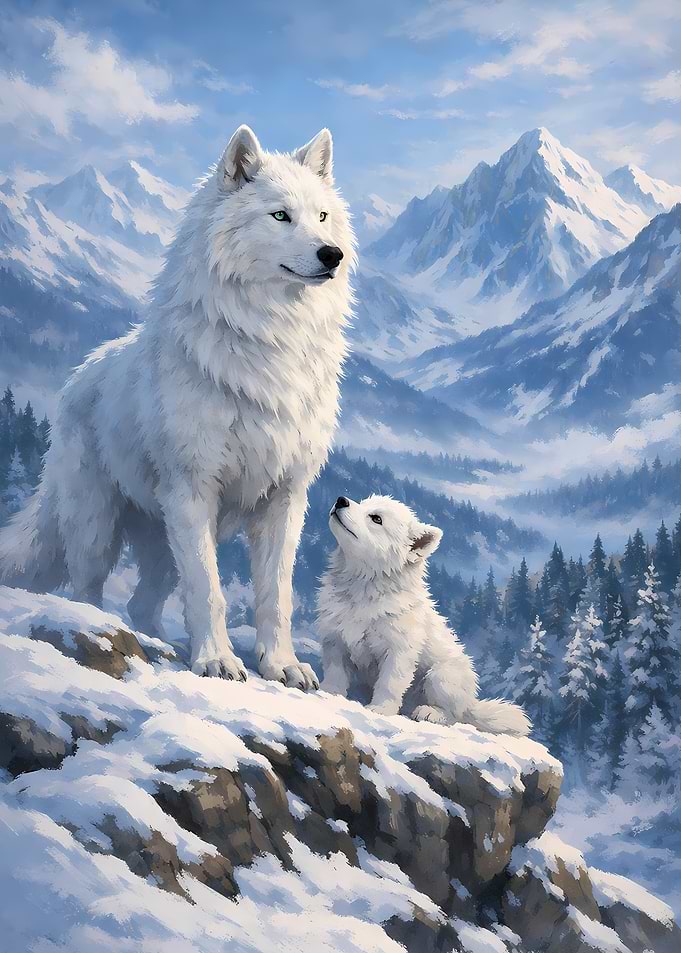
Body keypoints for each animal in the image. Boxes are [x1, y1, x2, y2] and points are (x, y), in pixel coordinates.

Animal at [0, 125, 356, 689]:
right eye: (280, 216)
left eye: (321, 216)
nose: (332, 255)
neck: (271, 343)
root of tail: (80, 372)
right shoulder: (192, 490)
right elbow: (209, 590)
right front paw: (217, 661)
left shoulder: (284, 498)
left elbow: (275, 597)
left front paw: (280, 666)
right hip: (99, 527)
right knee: (86, 590)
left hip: (160, 540)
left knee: (143, 604)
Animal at [317, 495, 531, 735]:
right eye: (362, 503)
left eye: (376, 519)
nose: (341, 500)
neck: (362, 592)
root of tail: (470, 703)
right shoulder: (335, 638)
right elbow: (335, 672)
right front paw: (328, 692)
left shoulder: (399, 650)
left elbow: (389, 683)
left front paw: (380, 709)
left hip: (441, 676)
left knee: (454, 715)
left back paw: (430, 713)